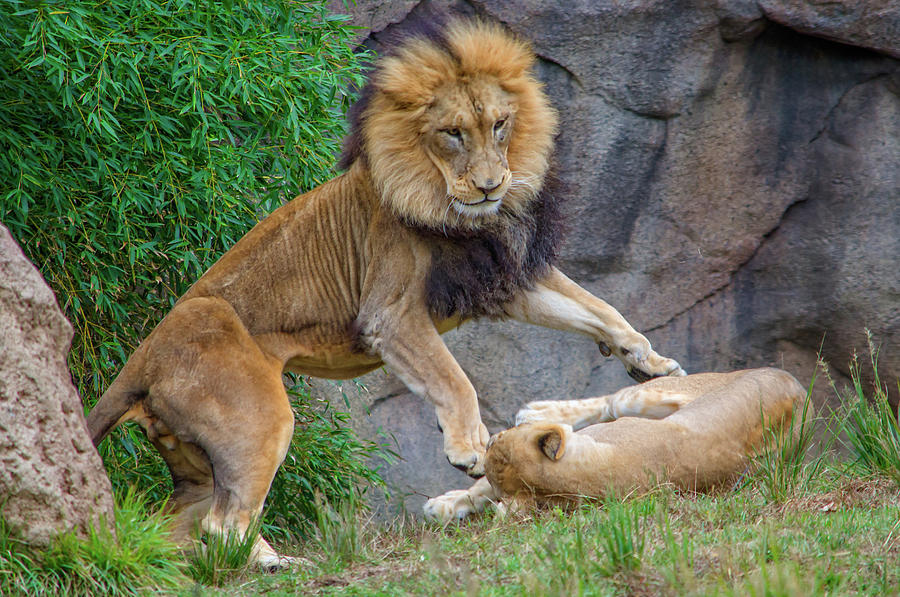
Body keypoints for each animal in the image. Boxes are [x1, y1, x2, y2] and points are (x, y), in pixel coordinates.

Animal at [89, 19, 684, 568]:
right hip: (255, 415)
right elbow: (454, 378)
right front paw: (470, 450)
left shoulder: (503, 277)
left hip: (191, 457)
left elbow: (599, 309)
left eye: (499, 125)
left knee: (182, 521)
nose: (491, 185)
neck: (452, 207)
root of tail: (144, 354)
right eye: (452, 133)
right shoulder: (391, 313)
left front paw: (652, 363)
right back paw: (278, 564)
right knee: (222, 520)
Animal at [422, 368, 808, 520]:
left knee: (611, 401)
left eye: (497, 442)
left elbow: (484, 488)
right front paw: (449, 504)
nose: (491, 438)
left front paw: (446, 503)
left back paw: (534, 411)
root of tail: (799, 389)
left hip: (646, 398)